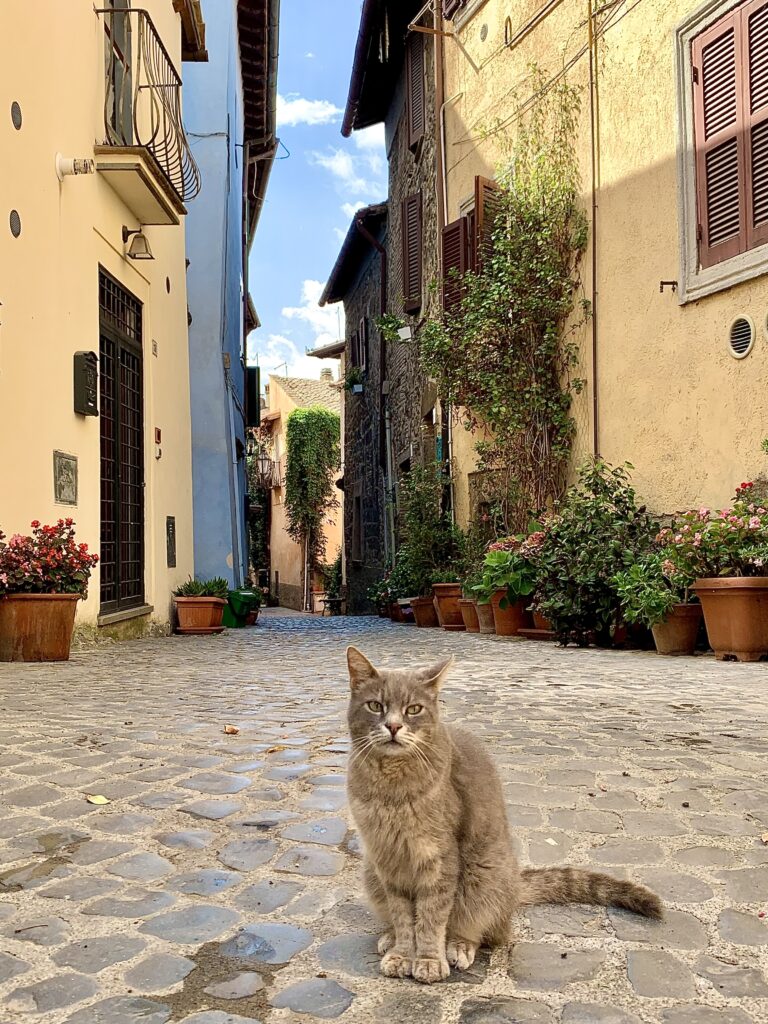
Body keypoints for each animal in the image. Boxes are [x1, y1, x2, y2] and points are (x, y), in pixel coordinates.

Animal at [346, 643, 663, 987]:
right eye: (375, 705)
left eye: (414, 709)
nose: (393, 726)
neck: (390, 789)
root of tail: (515, 884)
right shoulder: (388, 861)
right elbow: (404, 917)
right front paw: (403, 953)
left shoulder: (439, 859)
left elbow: (431, 917)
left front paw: (428, 960)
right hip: (372, 872)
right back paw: (390, 937)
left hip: (483, 876)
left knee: (483, 931)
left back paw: (459, 946)